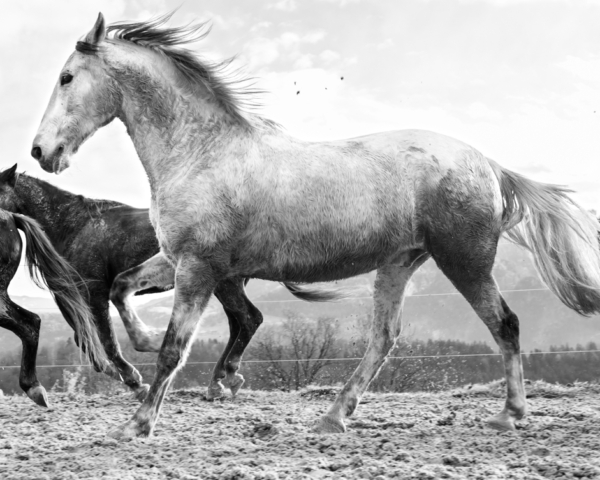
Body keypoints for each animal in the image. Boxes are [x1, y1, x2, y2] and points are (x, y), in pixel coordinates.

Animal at [0, 165, 336, 402]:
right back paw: (219, 381)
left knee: (250, 319)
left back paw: (225, 379)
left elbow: (106, 340)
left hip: (226, 285)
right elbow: (86, 340)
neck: (74, 225)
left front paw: (134, 380)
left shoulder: (95, 292)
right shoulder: (70, 297)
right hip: (225, 286)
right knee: (239, 324)